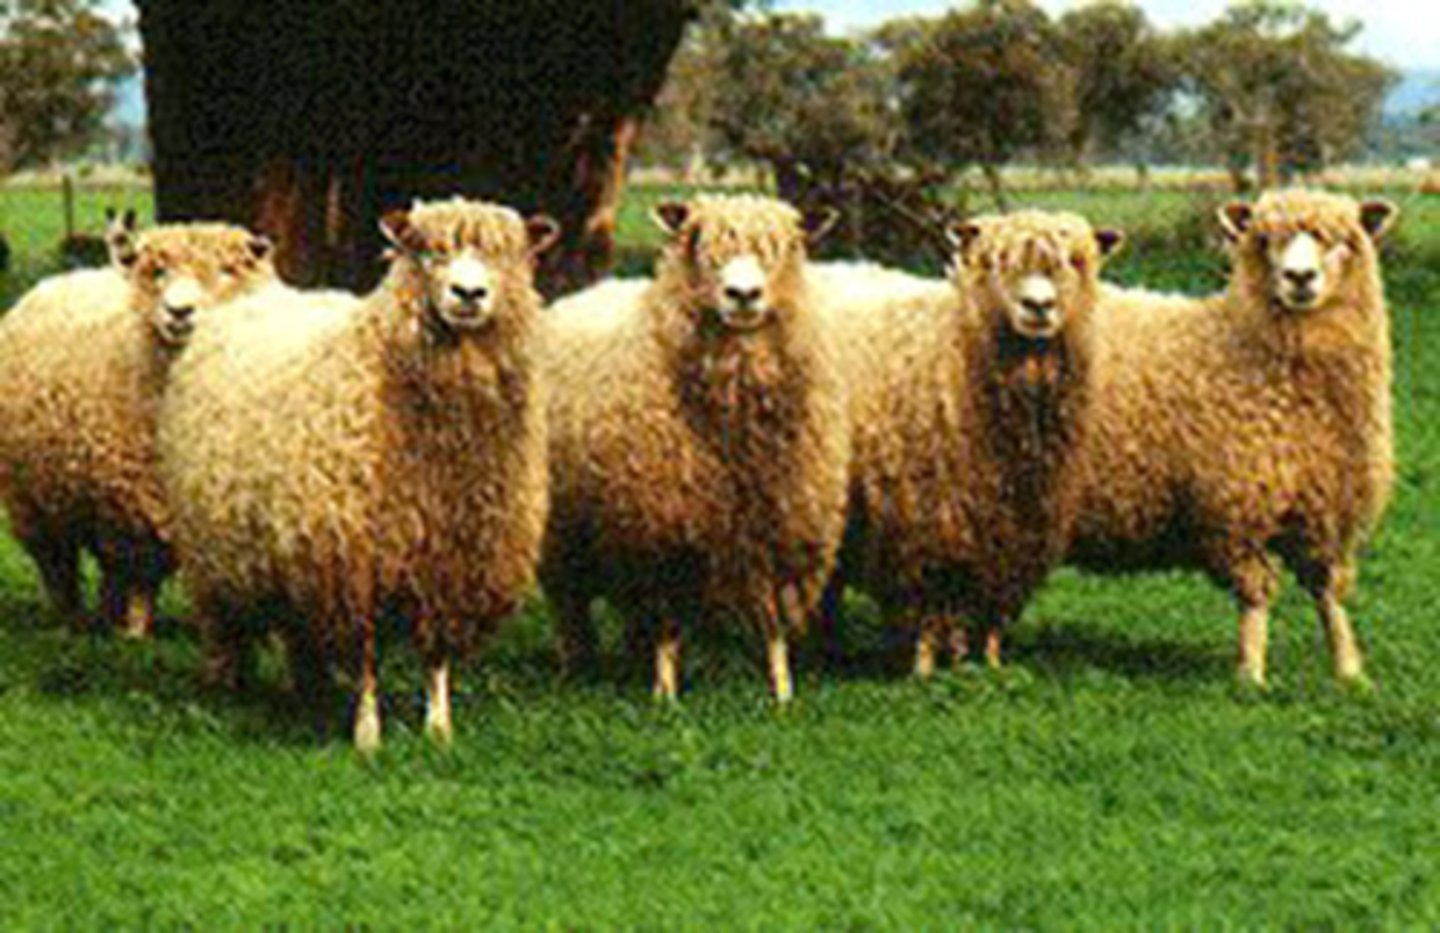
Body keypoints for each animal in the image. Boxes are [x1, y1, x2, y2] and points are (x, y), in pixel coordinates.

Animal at [0, 213, 276, 637]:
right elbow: (138, 576)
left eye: (227, 271)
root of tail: (65, 276)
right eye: (158, 272)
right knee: (57, 563)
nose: (179, 312)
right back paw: (71, 618)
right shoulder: (127, 505)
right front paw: (134, 632)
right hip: (31, 497)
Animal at [158, 198, 558, 751]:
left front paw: (438, 728)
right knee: (225, 625)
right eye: (429, 253)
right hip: (216, 549)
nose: (469, 294)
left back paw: (309, 688)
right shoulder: (351, 556)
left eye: (504, 256)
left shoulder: (452, 557)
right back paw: (226, 683)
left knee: (298, 632)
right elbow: (367, 654)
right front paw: (367, 735)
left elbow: (436, 654)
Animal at [539, 194, 847, 703]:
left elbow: (772, 620)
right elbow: (666, 621)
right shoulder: (662, 526)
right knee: (570, 605)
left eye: (784, 246)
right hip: (563, 532)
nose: (743, 295)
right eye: (701, 243)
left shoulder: (776, 522)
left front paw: (782, 688)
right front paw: (665, 693)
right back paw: (577, 666)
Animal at [814, 211, 1123, 676]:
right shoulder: (923, 518)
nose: (1039, 306)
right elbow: (928, 598)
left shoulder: (1012, 523)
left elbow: (993, 598)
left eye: (1075, 261)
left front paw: (987, 662)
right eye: (996, 262)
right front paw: (925, 667)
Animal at [1070, 188, 1399, 688]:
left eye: (1338, 239)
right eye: (1266, 239)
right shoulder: (1236, 507)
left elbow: (1328, 593)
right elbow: (1256, 595)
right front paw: (1251, 674)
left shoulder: (1326, 507)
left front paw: (1349, 670)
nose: (1299, 277)